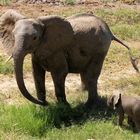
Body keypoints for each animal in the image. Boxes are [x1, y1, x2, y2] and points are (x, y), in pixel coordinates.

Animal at [0, 9, 138, 107]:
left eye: (34, 38)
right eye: (13, 35)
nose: (46, 103)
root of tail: (109, 31)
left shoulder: (57, 50)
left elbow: (59, 73)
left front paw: (64, 107)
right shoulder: (38, 51)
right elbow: (37, 74)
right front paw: (41, 107)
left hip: (100, 49)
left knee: (92, 74)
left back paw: (89, 105)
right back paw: (82, 92)